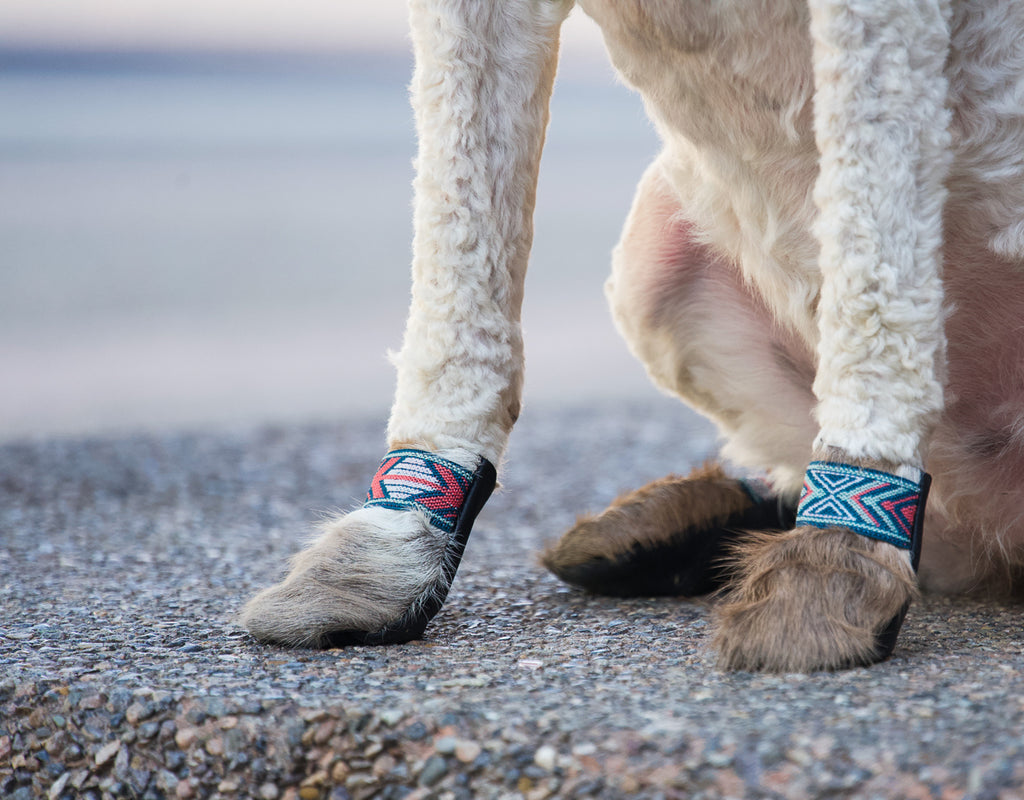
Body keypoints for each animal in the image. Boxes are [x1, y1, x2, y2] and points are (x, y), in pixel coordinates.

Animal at [241, 0, 1024, 671]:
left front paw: (834, 566)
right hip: (651, 252)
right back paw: (661, 533)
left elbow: (876, 228)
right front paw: (384, 556)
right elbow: (458, 228)